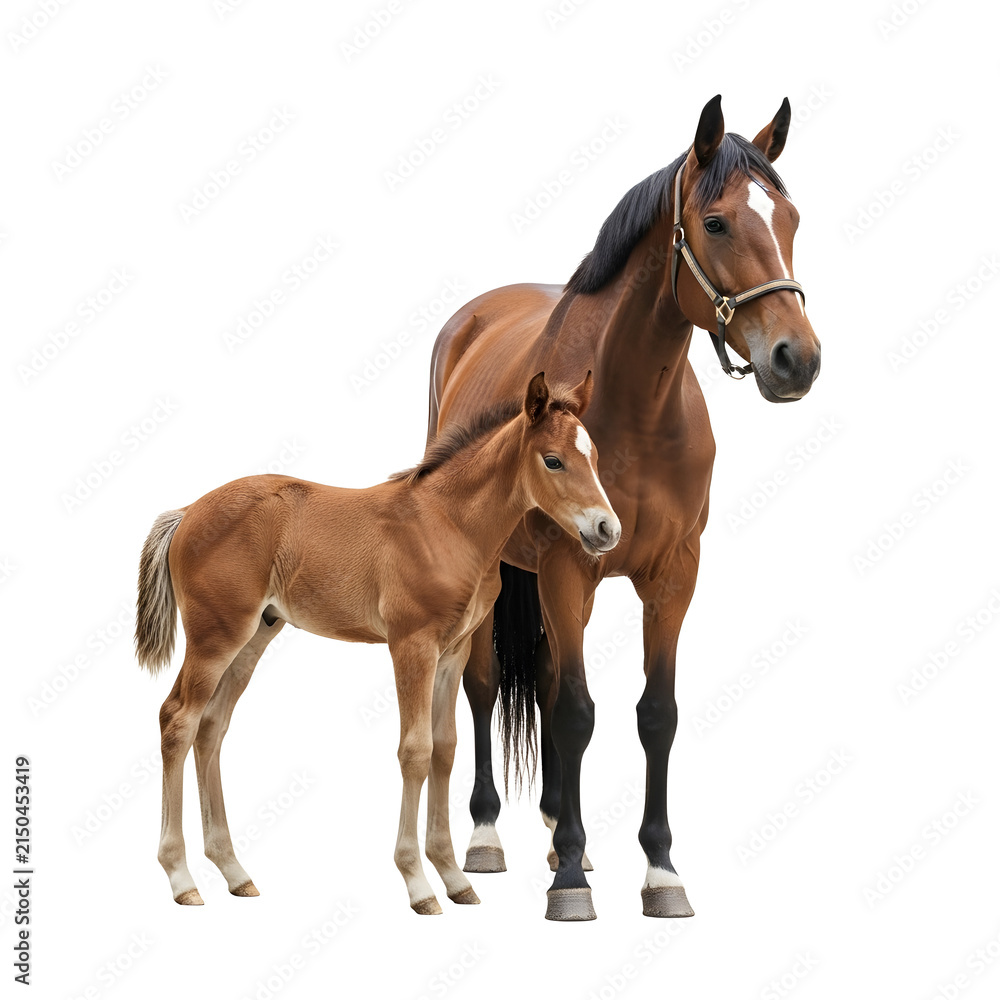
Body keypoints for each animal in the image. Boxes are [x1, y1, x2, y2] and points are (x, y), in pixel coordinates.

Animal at [133, 371, 621, 915]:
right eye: (552, 459)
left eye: (594, 456)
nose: (607, 529)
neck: (449, 524)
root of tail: (187, 512)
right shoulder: (412, 645)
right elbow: (415, 750)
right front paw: (418, 884)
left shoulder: (451, 652)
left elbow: (445, 748)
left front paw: (455, 878)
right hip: (214, 637)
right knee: (178, 719)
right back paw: (181, 878)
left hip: (254, 635)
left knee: (212, 727)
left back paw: (234, 871)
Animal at [425, 96, 822, 921]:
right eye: (716, 223)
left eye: (792, 218)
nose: (796, 359)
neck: (631, 408)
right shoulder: (568, 568)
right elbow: (576, 711)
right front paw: (572, 881)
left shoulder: (673, 574)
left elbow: (653, 714)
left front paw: (660, 872)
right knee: (484, 687)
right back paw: (489, 838)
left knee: (544, 684)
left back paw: (553, 832)